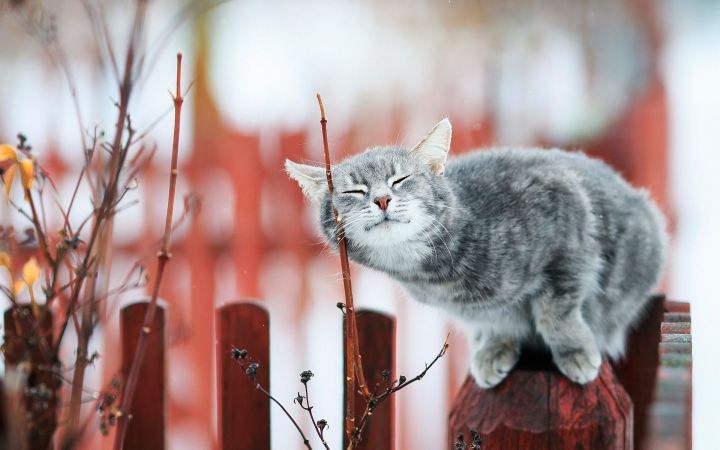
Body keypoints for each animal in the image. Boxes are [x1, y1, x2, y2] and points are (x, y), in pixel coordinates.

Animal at [284, 118, 668, 386]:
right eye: (354, 191)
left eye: (400, 180)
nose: (381, 199)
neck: (436, 276)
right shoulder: (478, 311)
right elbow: (495, 319)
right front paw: (496, 347)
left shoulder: (568, 227)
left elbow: (555, 312)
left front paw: (574, 350)